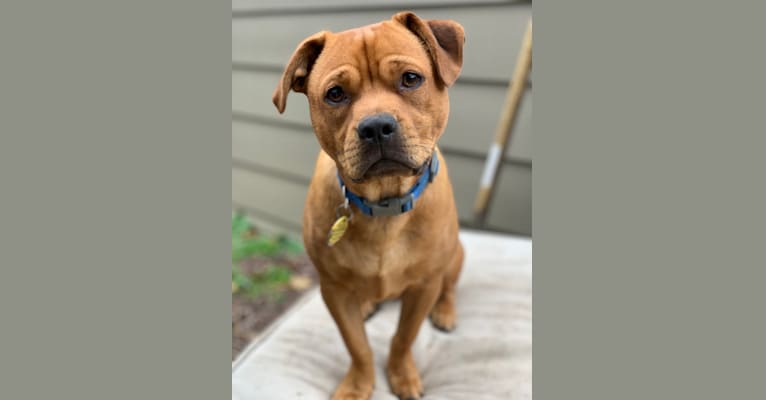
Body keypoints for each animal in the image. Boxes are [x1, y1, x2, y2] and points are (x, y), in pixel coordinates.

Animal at [276, 11, 468, 400]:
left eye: (411, 79)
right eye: (335, 94)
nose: (377, 126)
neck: (384, 204)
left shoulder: (424, 286)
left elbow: (403, 337)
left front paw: (402, 374)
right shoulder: (333, 290)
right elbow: (357, 345)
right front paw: (358, 383)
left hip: (456, 255)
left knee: (449, 287)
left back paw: (445, 311)